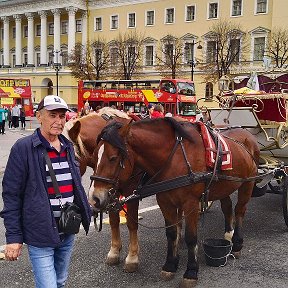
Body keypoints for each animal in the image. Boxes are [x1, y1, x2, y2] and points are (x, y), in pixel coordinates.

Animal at [64, 108, 143, 272]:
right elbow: (113, 221)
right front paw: (114, 251)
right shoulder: (108, 192)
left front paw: (132, 256)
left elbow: (132, 223)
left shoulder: (132, 192)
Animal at [89, 117, 260, 288]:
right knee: (227, 206)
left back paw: (237, 243)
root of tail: (247, 133)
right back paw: (228, 234)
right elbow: (171, 233)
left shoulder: (190, 203)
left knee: (239, 210)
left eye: (113, 158)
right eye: (94, 156)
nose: (94, 198)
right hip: (224, 185)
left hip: (248, 183)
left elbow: (191, 237)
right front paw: (170, 265)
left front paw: (191, 271)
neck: (175, 158)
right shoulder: (165, 202)